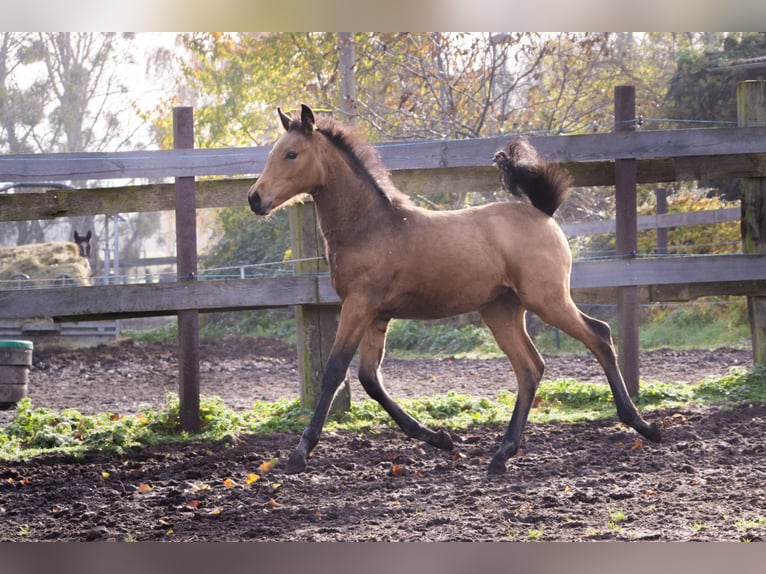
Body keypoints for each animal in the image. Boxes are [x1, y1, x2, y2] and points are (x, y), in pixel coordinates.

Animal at [248, 104, 661, 475]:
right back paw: (501, 455)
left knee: (599, 336)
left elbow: (334, 372)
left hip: (548, 300)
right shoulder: (377, 315)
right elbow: (370, 379)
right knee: (530, 368)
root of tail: (543, 212)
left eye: (291, 154)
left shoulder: (358, 305)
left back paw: (643, 425)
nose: (255, 198)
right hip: (501, 310)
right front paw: (440, 438)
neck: (370, 227)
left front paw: (300, 453)